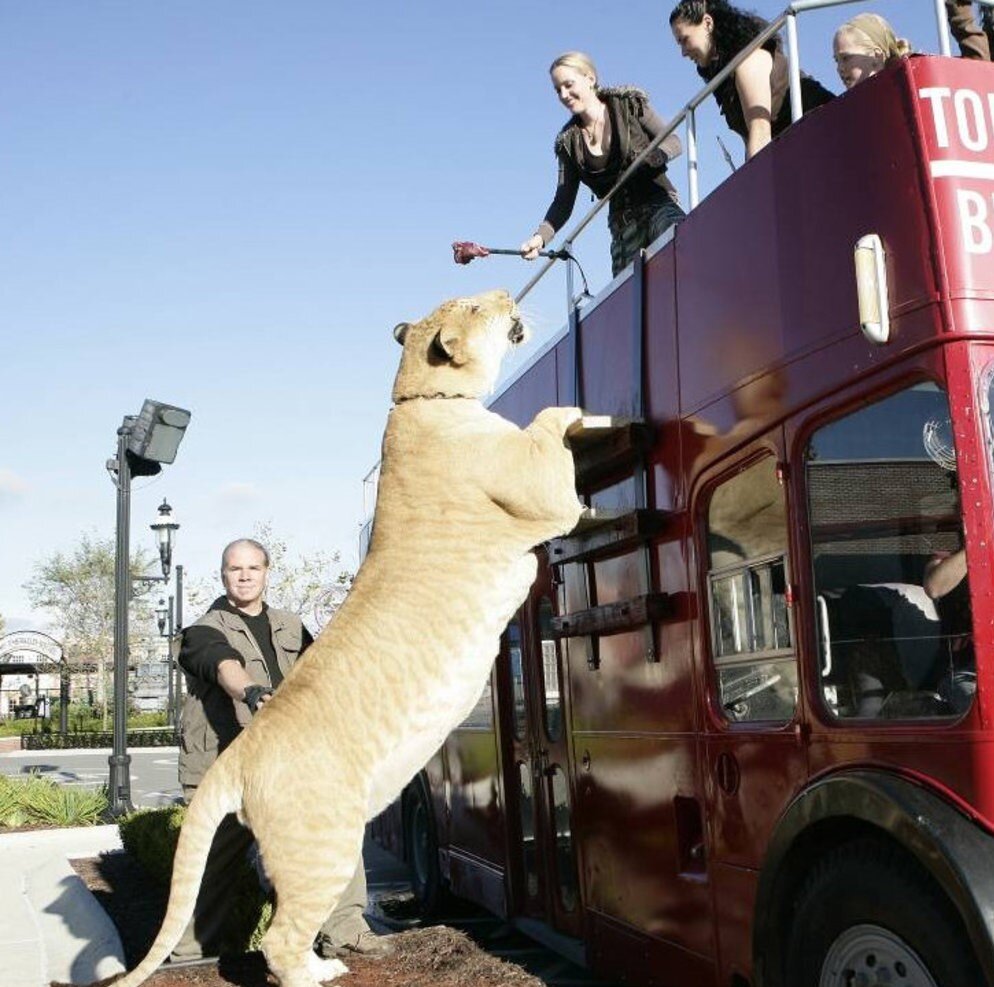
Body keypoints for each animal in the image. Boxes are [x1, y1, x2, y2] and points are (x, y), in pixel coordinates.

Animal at [102, 290, 580, 987]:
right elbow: (547, 432)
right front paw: (575, 411)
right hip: (320, 843)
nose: (503, 296)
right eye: (472, 304)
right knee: (278, 939)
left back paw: (328, 961)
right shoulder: (542, 497)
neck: (420, 396)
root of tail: (239, 753)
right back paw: (313, 974)